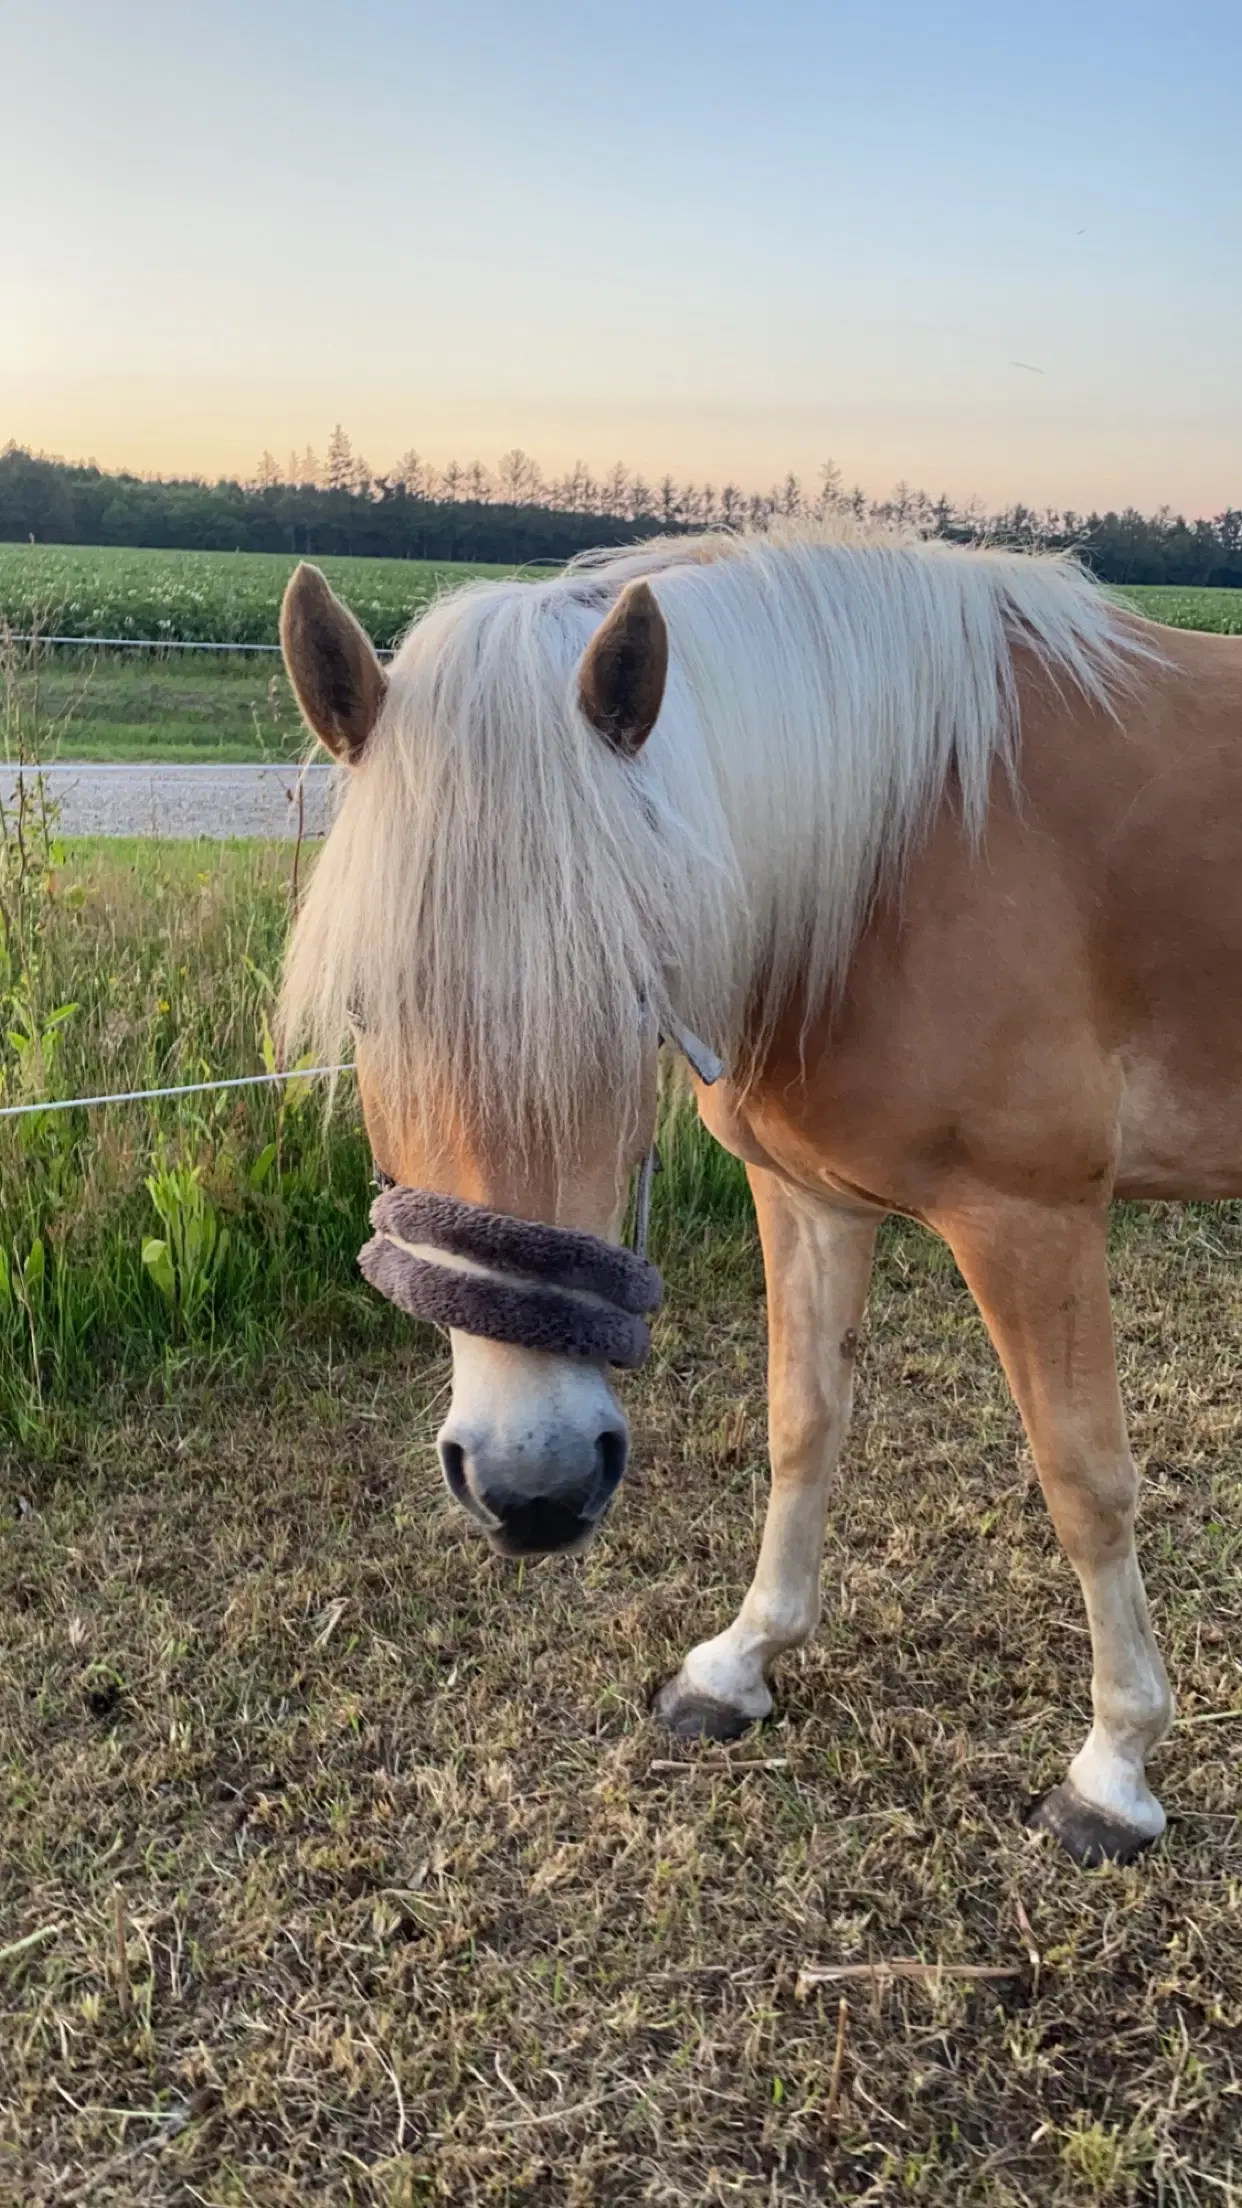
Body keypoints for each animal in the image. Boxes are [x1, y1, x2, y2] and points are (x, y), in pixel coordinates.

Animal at [278, 529, 1237, 1863]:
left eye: (633, 995)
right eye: (369, 1011)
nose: (535, 1488)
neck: (904, 848)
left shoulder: (1032, 1218)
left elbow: (1084, 1481)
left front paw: (1115, 1769)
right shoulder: (806, 1200)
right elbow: (802, 1425)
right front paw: (740, 1664)